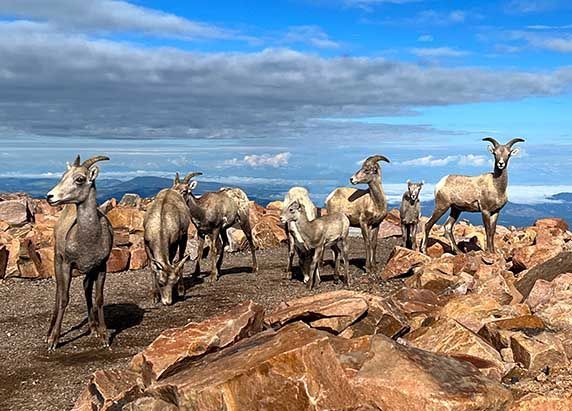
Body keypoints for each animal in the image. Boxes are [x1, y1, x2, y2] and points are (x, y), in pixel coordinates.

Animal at [45, 155, 113, 350]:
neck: (88, 238)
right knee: (58, 292)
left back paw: (93, 327)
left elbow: (99, 298)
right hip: (57, 261)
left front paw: (104, 337)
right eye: (63, 176)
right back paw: (48, 334)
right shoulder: (67, 264)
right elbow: (64, 298)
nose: (50, 197)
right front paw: (54, 341)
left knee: (86, 288)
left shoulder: (101, 266)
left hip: (89, 271)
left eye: (80, 179)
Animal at [143, 175, 192, 308]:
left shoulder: (173, 243)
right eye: (160, 283)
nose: (167, 302)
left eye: (173, 283)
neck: (161, 227)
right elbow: (152, 267)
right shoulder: (146, 243)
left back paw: (181, 290)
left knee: (181, 257)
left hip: (184, 237)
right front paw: (154, 296)